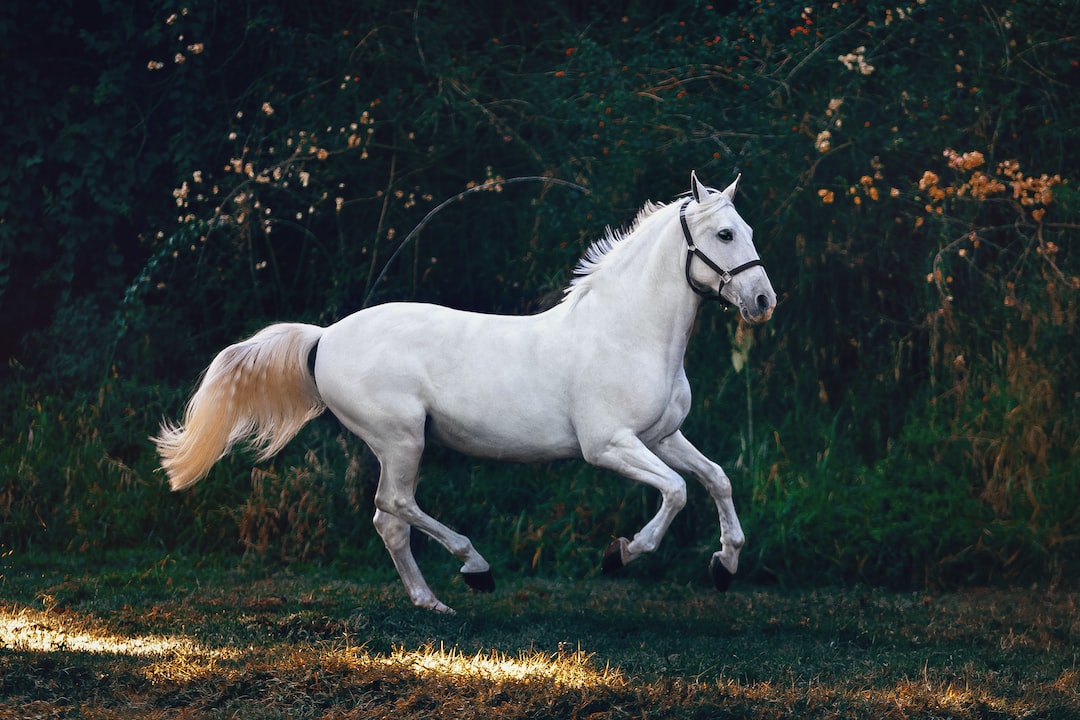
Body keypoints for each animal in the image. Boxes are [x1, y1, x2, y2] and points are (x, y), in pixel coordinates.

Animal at [154, 171, 777, 613]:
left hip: (399, 444)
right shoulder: (609, 445)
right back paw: (475, 568)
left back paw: (432, 602)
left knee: (388, 521)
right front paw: (620, 554)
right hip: (401, 439)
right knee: (395, 506)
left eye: (749, 231)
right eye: (725, 234)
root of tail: (325, 337)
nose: (763, 301)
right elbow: (676, 491)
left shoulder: (662, 436)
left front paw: (724, 565)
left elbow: (716, 479)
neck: (626, 332)